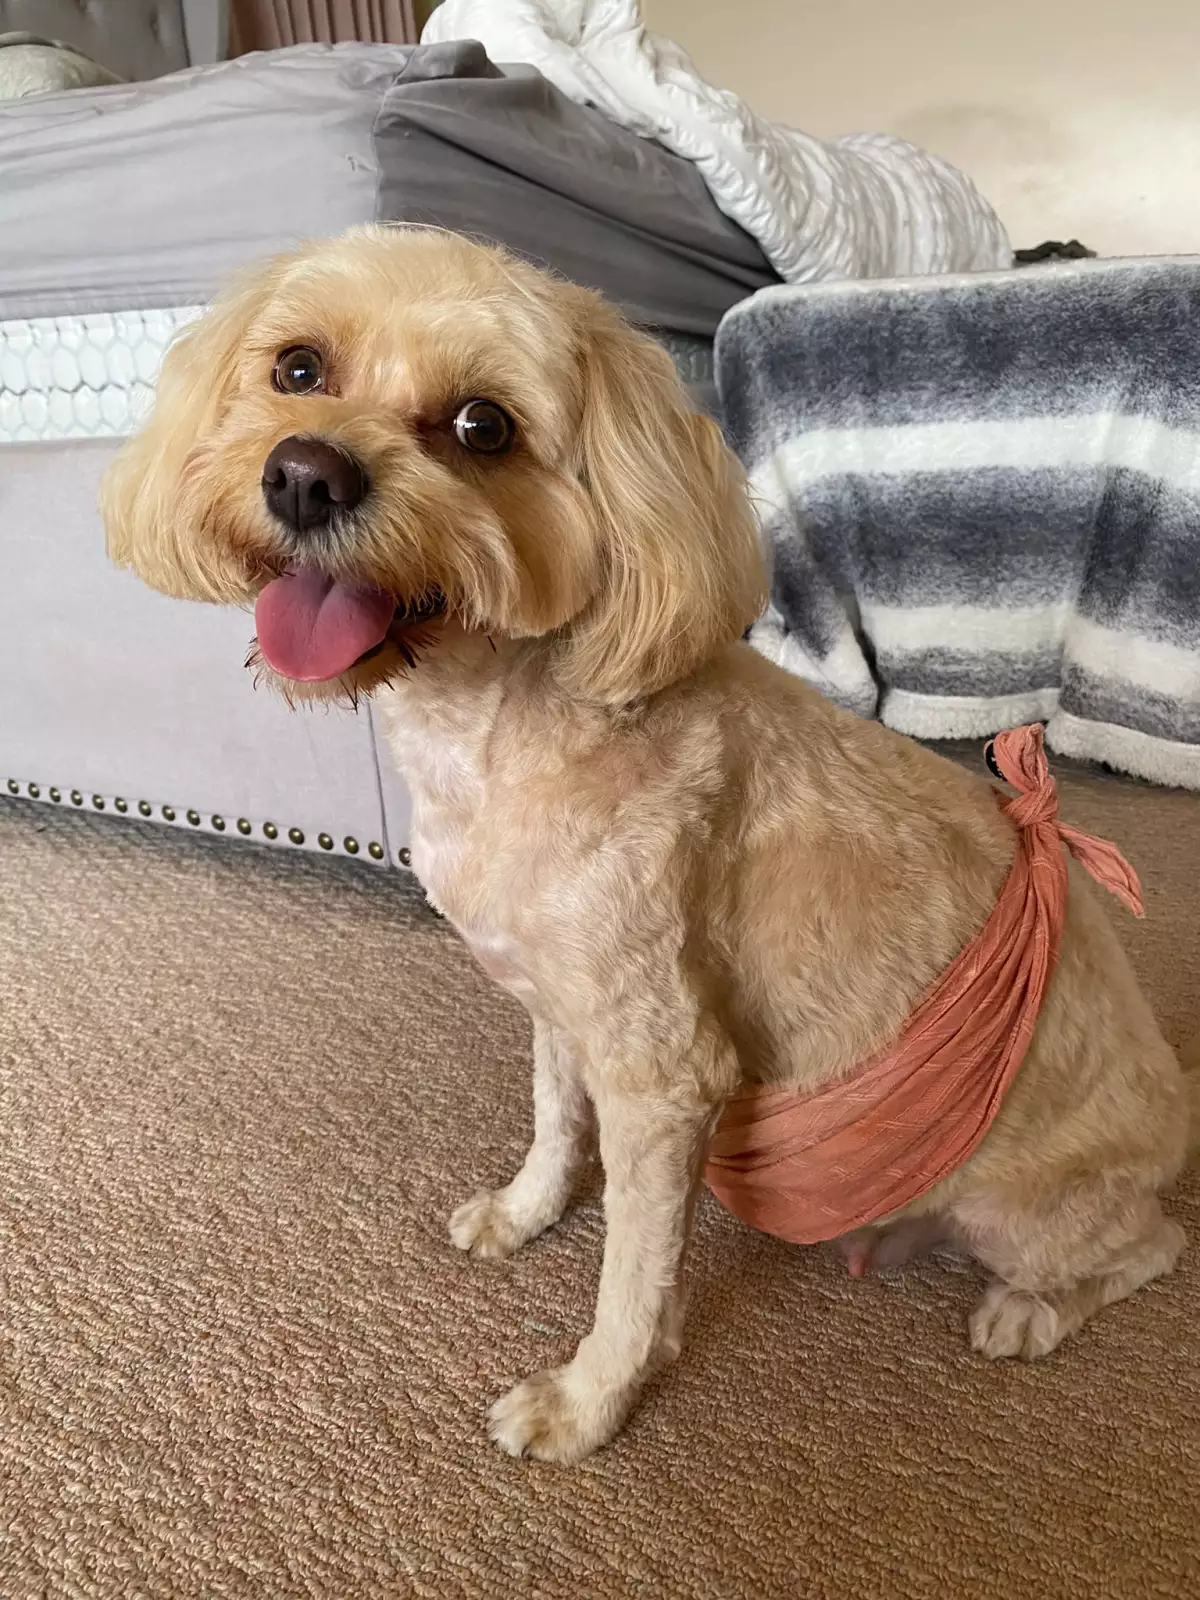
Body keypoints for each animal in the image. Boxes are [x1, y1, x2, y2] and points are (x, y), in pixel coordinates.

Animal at [101, 225, 1195, 1464]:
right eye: (296, 367)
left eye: (483, 426)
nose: (304, 473)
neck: (502, 722)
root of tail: (1180, 1105)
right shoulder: (555, 1004)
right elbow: (549, 1120)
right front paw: (525, 1212)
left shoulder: (664, 1071)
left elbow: (634, 1266)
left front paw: (588, 1401)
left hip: (1014, 1203)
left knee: (1148, 1248)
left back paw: (1029, 1310)